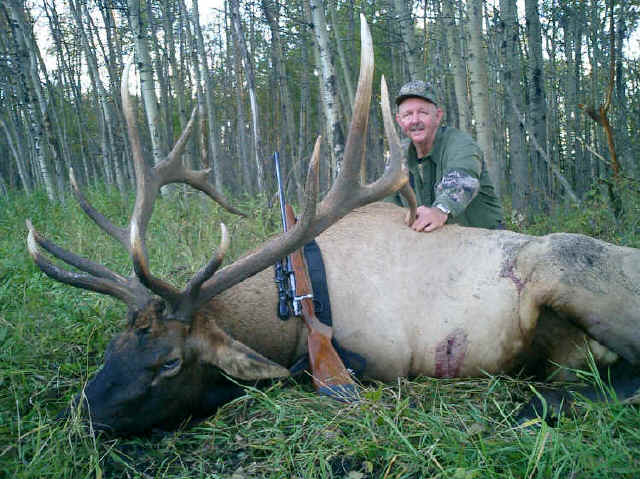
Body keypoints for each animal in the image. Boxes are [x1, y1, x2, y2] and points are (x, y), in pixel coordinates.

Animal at [27, 17, 640, 436]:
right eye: (116, 341)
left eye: (170, 362)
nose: (83, 415)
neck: (292, 314)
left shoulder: (380, 359)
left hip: (564, 273)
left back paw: (536, 401)